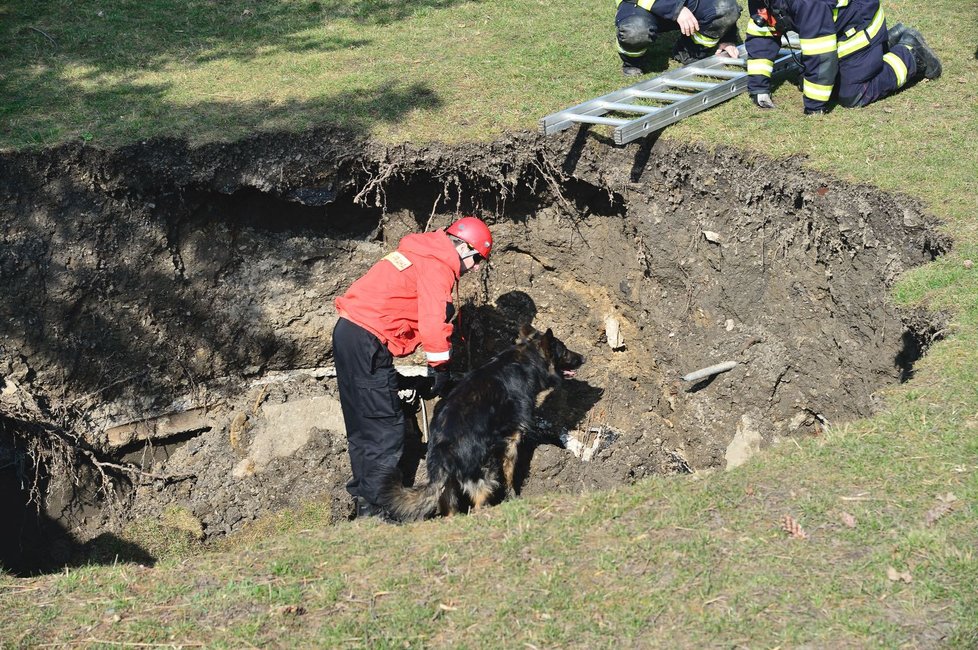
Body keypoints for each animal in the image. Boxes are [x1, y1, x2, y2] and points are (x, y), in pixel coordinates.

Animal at [380, 324, 580, 520]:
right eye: (564, 351)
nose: (583, 358)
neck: (527, 360)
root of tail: (444, 451)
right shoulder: (511, 440)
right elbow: (509, 474)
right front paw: (513, 497)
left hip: (449, 490)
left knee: (450, 512)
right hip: (485, 470)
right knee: (478, 504)